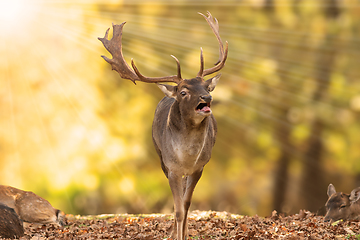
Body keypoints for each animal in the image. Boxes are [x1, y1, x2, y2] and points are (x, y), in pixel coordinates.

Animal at [98, 11, 228, 240]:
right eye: (183, 92)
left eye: (205, 86)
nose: (207, 97)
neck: (187, 157)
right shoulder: (171, 166)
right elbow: (177, 209)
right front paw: (176, 235)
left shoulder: (199, 167)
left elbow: (186, 205)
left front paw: (185, 234)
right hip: (160, 158)